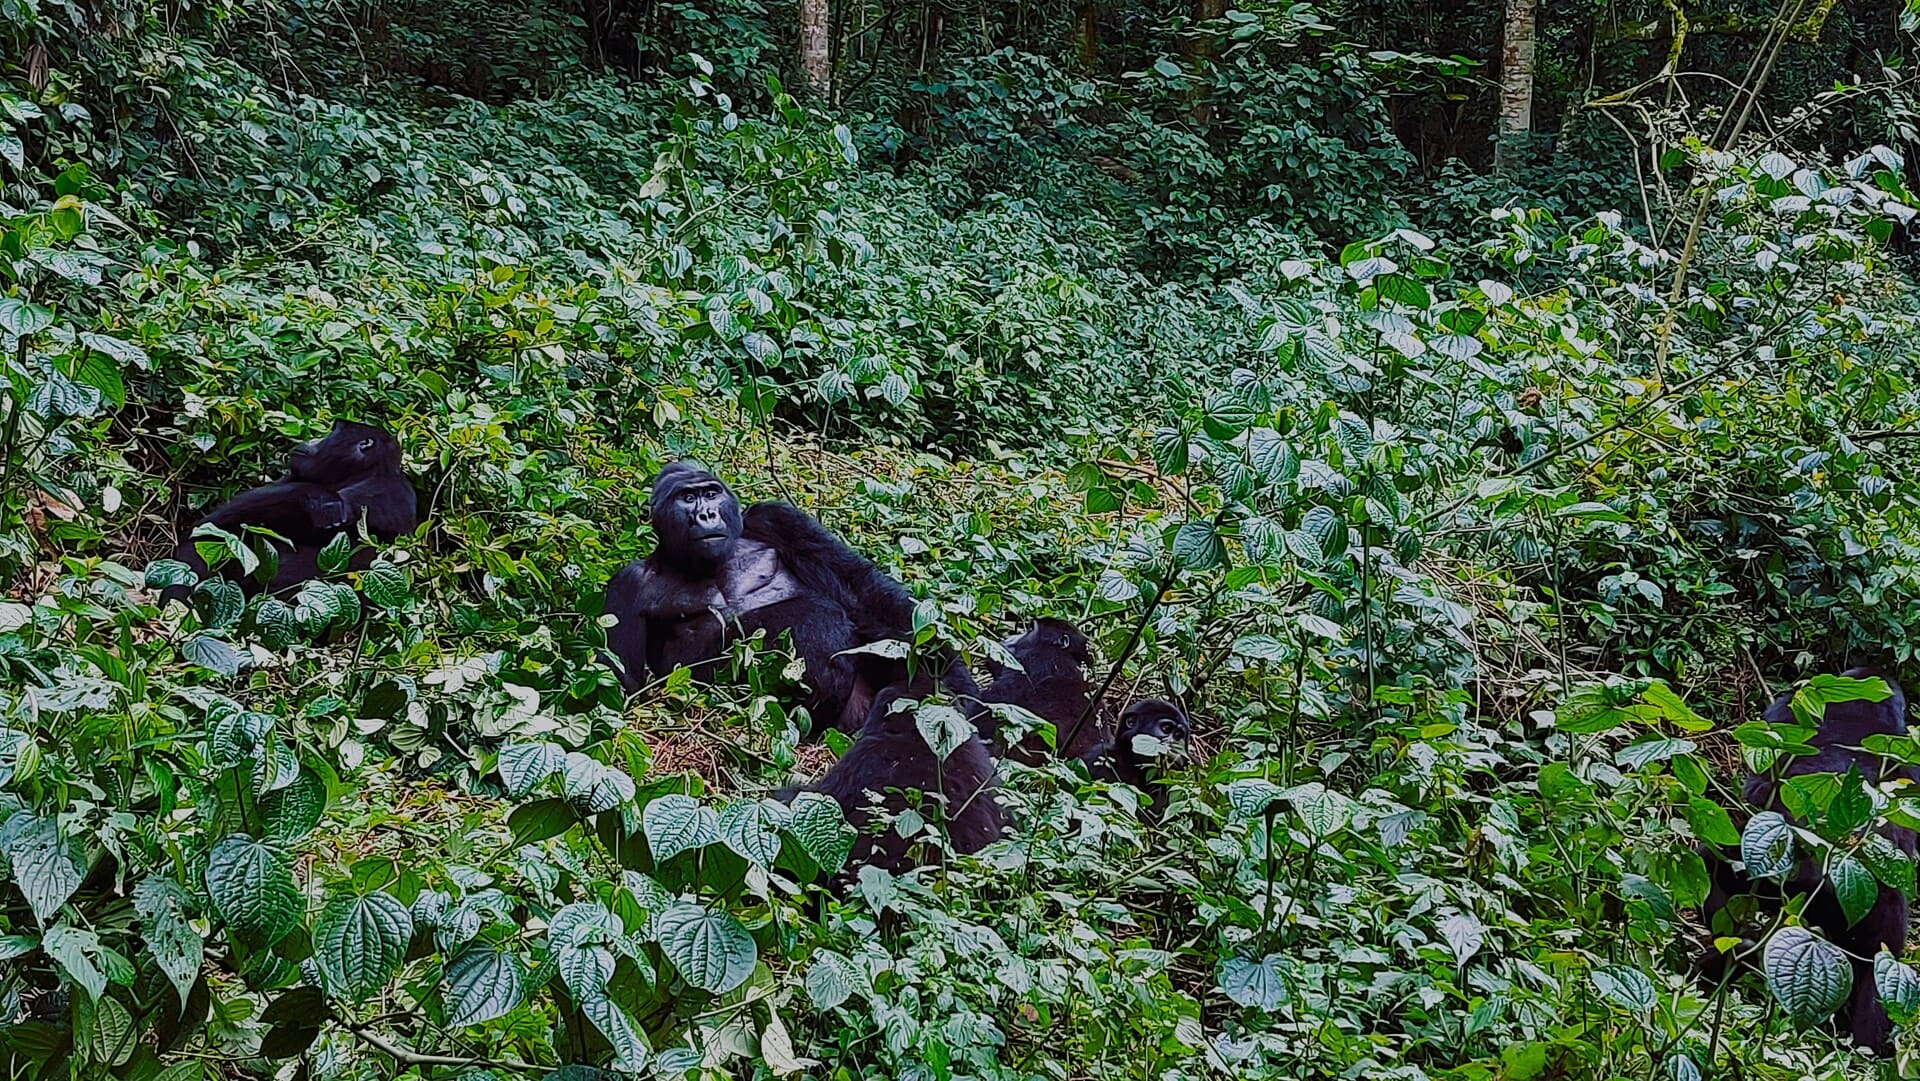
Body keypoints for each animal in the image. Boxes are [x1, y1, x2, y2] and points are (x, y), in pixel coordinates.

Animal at [602, 464, 975, 737]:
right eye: (687, 498)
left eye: (710, 493)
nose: (707, 514)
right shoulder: (627, 584)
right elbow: (623, 686)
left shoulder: (775, 518)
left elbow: (861, 591)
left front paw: (953, 682)